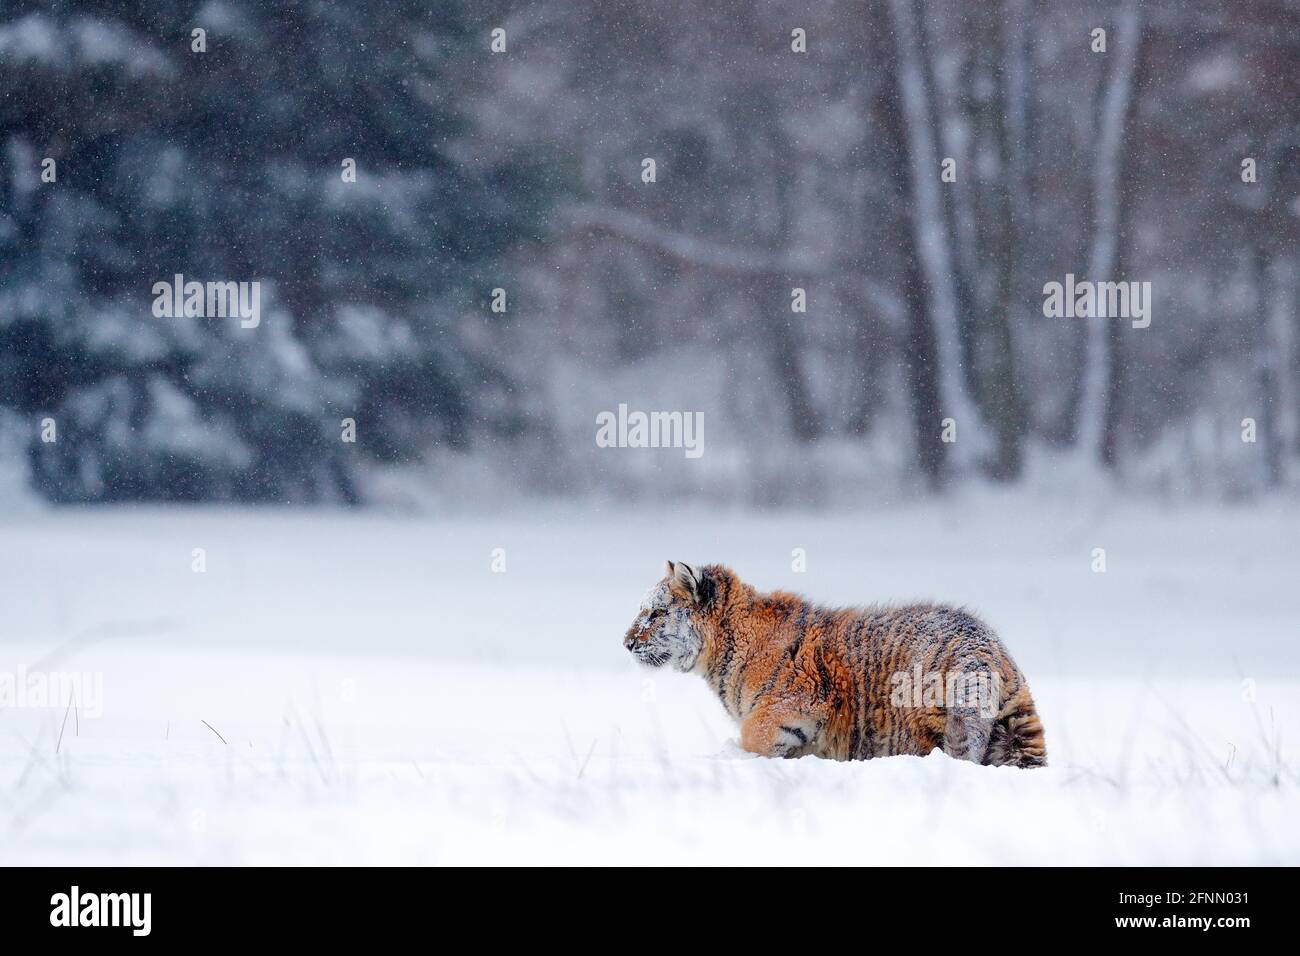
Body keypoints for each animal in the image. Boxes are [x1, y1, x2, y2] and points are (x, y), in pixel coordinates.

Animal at [623, 561, 1046, 768]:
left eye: (656, 613)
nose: (626, 643)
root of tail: (981, 647)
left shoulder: (797, 702)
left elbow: (752, 733)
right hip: (1020, 728)